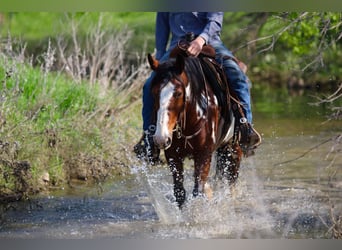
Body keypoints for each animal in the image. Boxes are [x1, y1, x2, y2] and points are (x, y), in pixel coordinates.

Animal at [148, 48, 242, 207]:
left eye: (178, 93)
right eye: (153, 92)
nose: (161, 138)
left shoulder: (204, 155)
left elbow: (198, 192)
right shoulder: (172, 156)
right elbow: (179, 192)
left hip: (233, 148)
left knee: (231, 181)